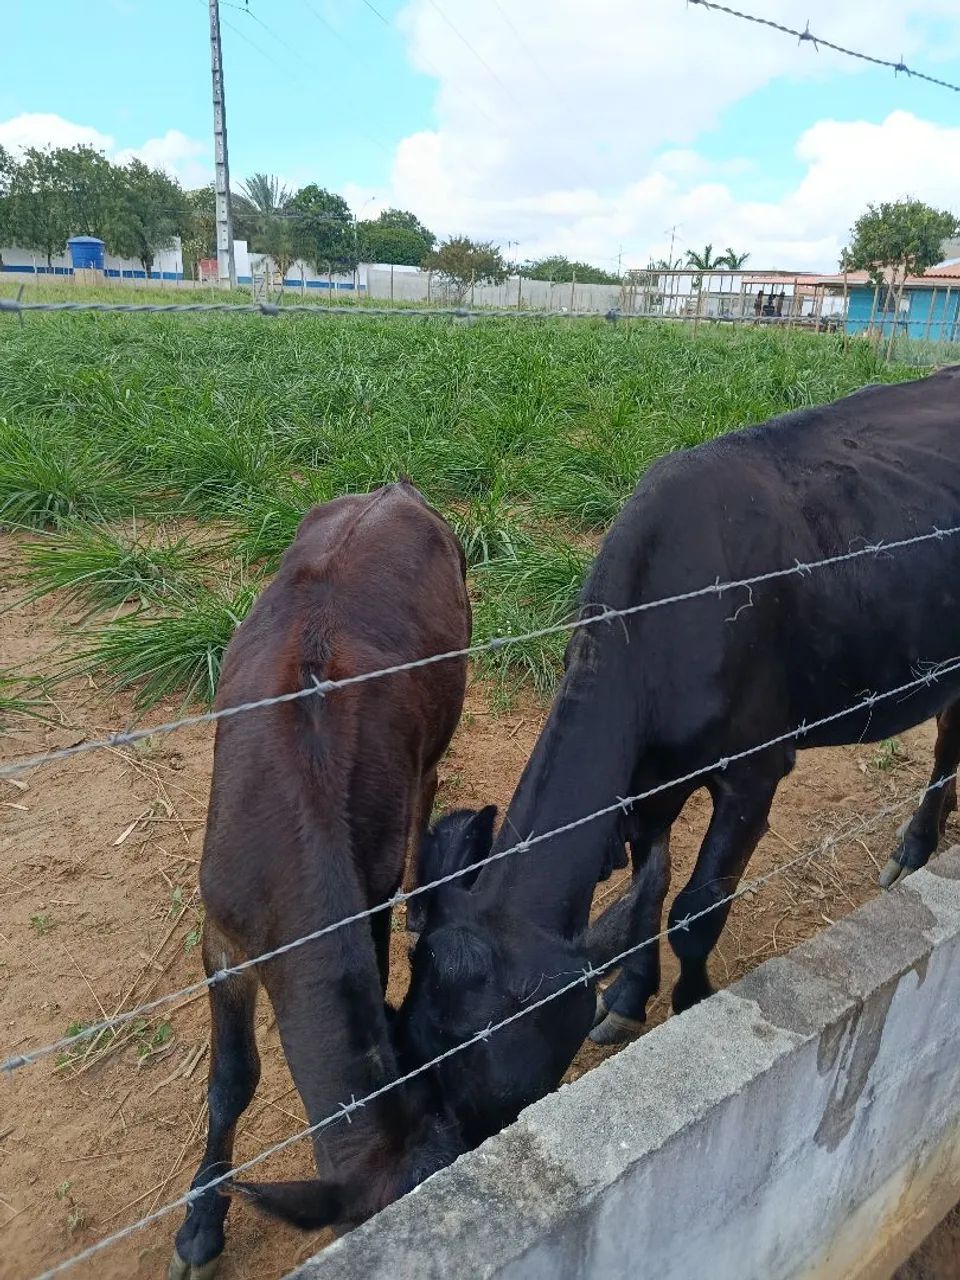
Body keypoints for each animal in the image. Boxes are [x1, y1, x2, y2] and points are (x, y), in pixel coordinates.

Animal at [169, 481, 470, 1280]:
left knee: (428, 780)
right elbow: (231, 1078)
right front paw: (199, 1226)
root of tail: (395, 487)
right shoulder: (221, 929)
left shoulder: (368, 895)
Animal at [398, 365, 960, 1147]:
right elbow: (651, 890)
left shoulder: (755, 770)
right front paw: (628, 998)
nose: (435, 1161)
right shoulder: (649, 785)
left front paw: (692, 1006)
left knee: (948, 746)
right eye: (415, 1049)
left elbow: (696, 908)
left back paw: (914, 848)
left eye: (503, 1090)